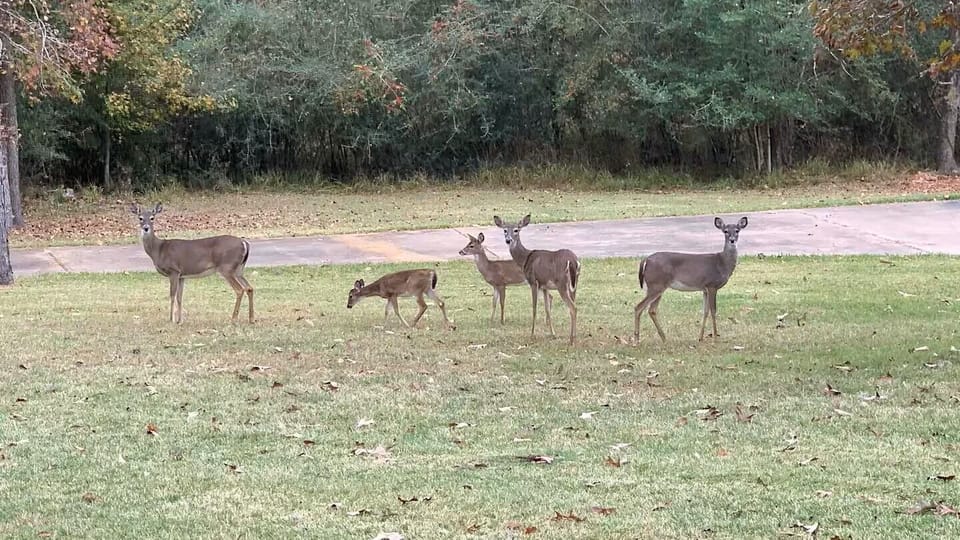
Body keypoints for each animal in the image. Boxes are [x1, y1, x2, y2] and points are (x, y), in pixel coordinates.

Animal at [493, 215, 580, 345]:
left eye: (516, 230)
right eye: (504, 230)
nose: (508, 240)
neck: (525, 258)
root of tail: (573, 261)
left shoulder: (533, 282)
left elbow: (534, 308)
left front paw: (532, 334)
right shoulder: (544, 286)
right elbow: (547, 309)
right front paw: (553, 334)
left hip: (562, 284)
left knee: (573, 308)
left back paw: (571, 340)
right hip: (574, 284)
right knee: (573, 305)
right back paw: (574, 336)